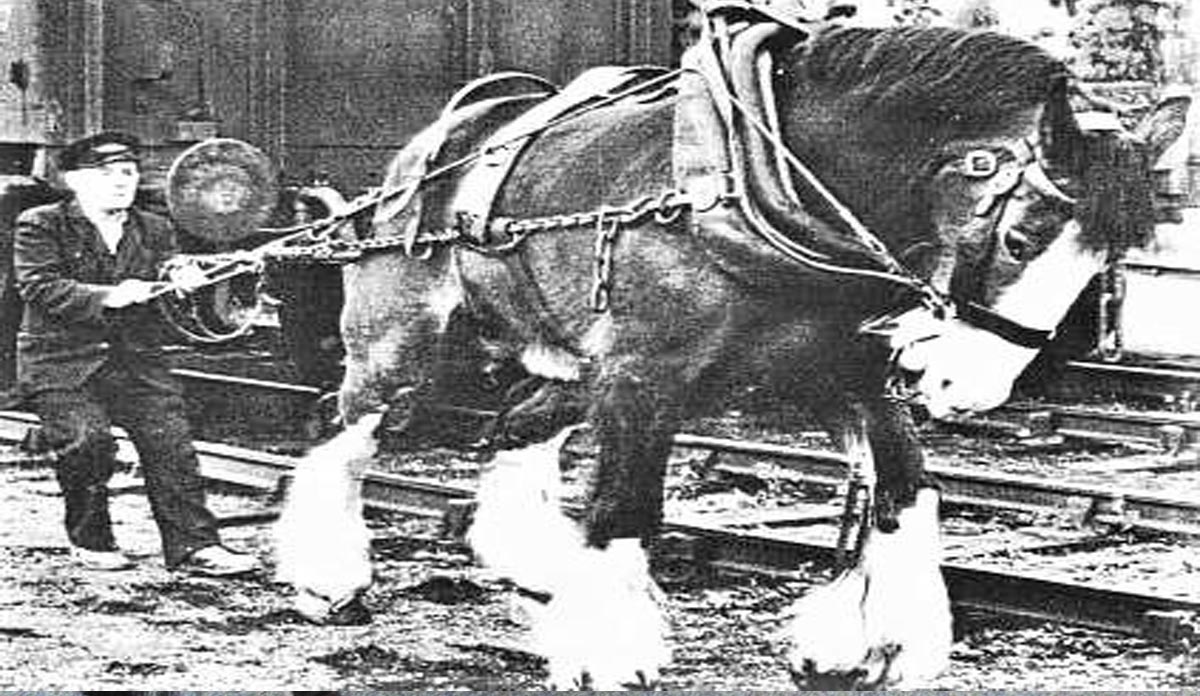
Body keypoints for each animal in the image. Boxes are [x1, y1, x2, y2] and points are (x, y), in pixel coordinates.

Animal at [276, 6, 1185, 691]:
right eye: (1023, 236)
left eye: (1102, 264)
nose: (969, 387)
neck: (772, 181)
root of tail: (455, 125)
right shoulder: (643, 376)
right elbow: (626, 506)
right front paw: (612, 653)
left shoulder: (843, 373)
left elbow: (907, 489)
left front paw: (877, 645)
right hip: (401, 337)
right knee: (346, 430)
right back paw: (329, 579)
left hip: (572, 363)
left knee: (515, 424)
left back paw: (534, 565)